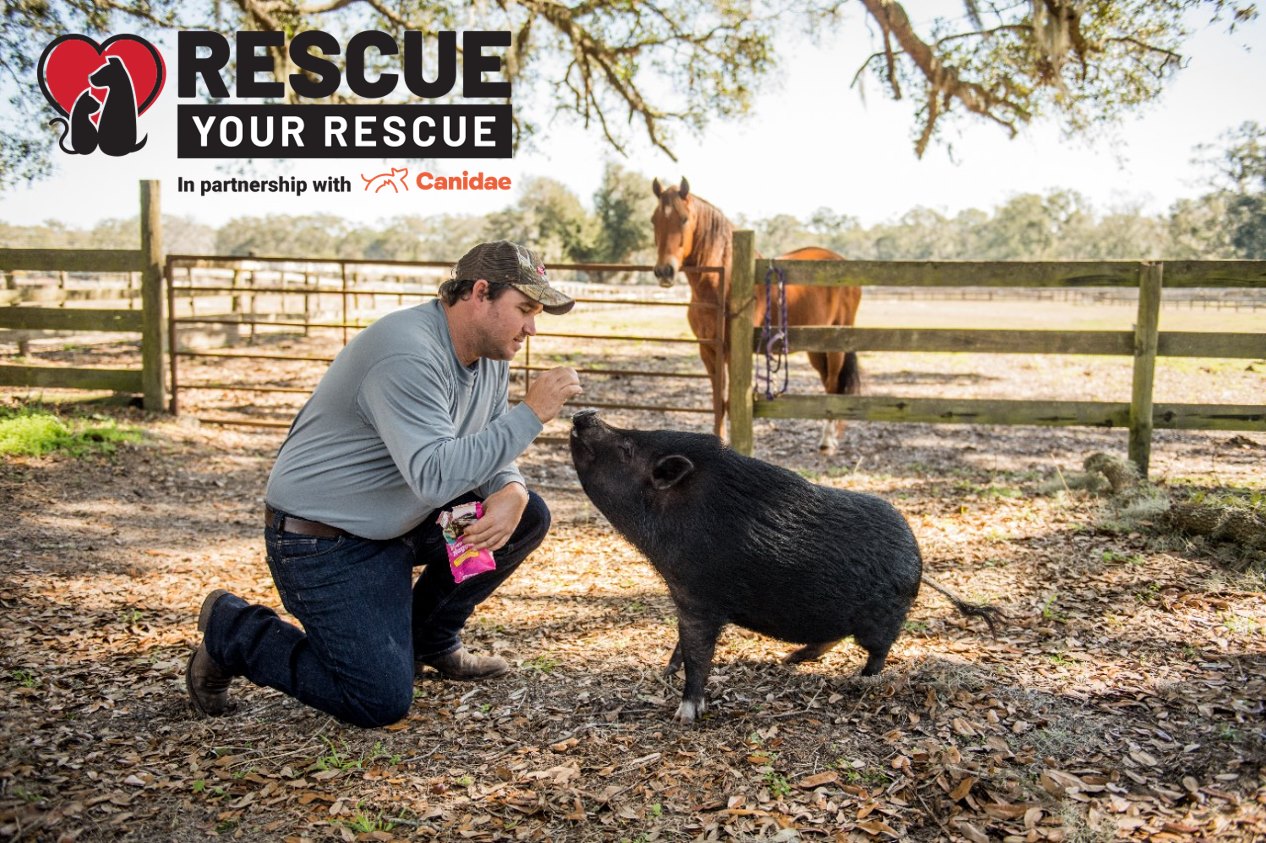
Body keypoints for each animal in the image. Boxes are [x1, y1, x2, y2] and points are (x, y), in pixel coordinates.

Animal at [569, 410, 999, 724]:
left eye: (626, 447)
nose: (584, 414)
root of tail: (919, 560)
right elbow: (682, 645)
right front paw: (667, 672)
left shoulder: (699, 597)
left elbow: (698, 653)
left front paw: (685, 715)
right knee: (830, 637)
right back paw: (789, 660)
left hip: (883, 619)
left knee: (877, 651)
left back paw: (859, 680)